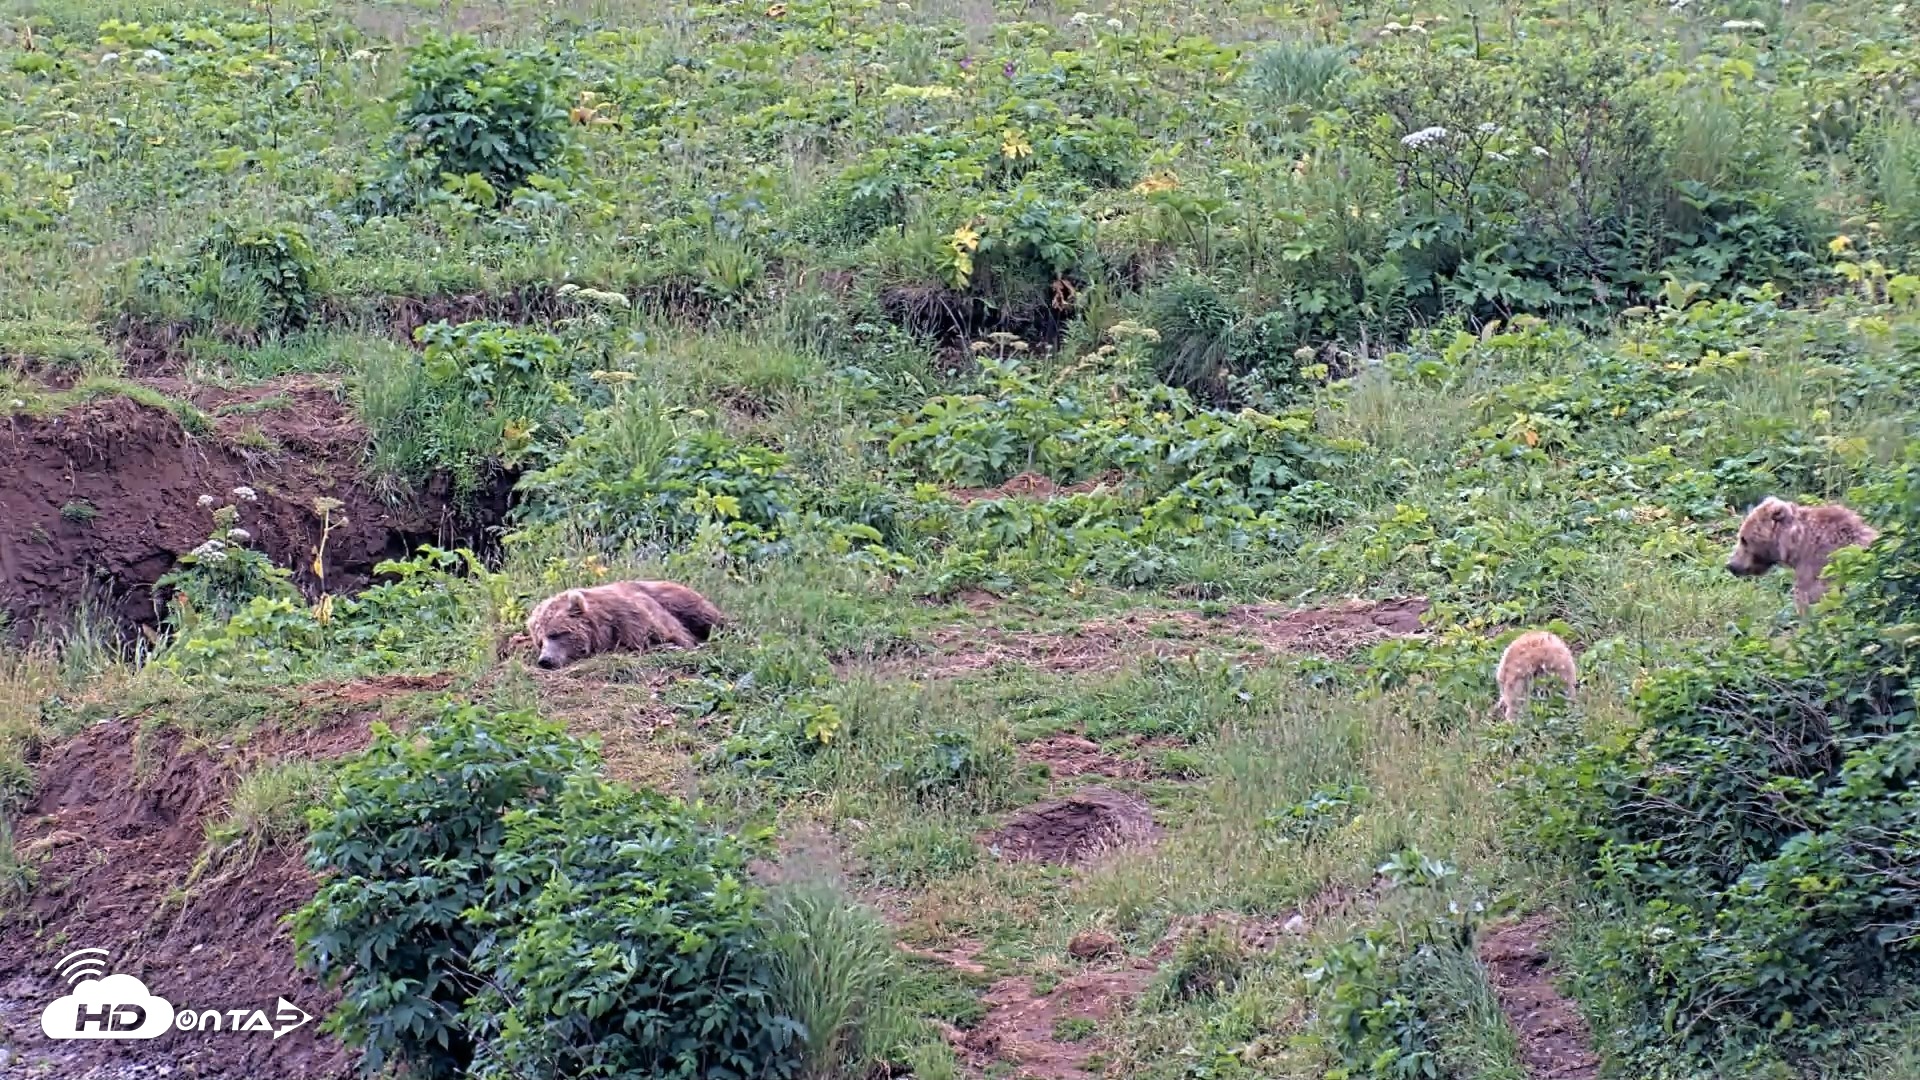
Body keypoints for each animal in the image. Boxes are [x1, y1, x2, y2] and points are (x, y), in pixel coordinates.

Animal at [525, 579, 726, 670]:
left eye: (555, 634)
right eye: (540, 642)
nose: (545, 660)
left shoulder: (634, 618)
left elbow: (672, 637)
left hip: (675, 598)